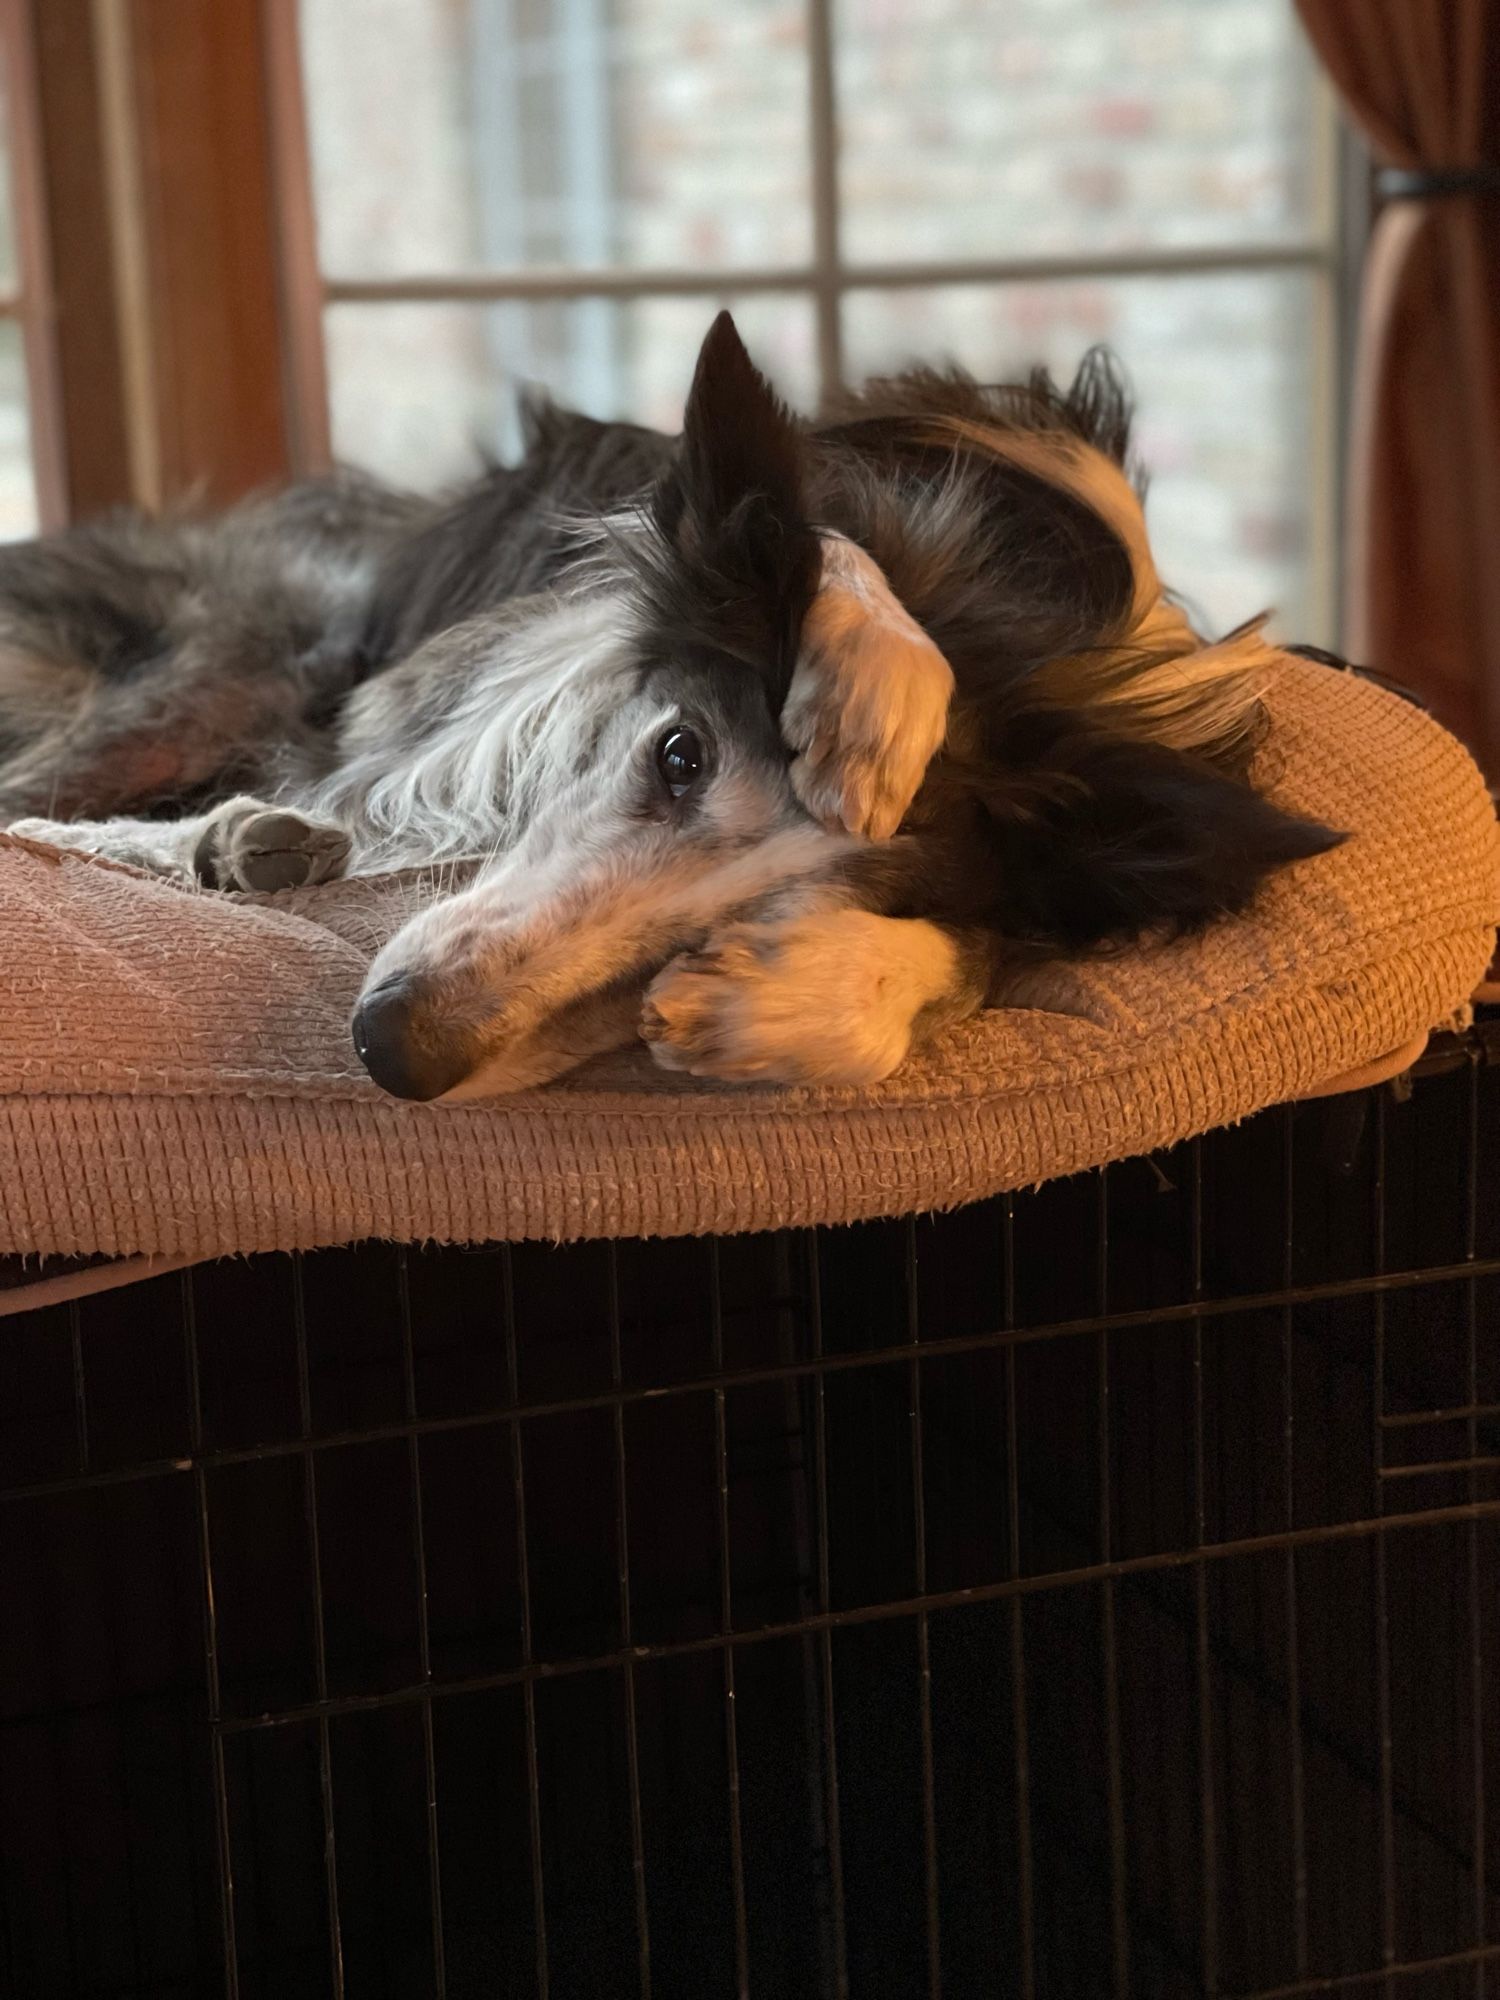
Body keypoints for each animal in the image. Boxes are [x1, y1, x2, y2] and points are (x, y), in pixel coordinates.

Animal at [0, 308, 1336, 1096]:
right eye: (679, 753)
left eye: (797, 909)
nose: (389, 1049)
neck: (1026, 619)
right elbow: (816, 541)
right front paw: (878, 682)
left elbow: (985, 942)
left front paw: (798, 995)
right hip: (233, 657)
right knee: (39, 801)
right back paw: (236, 836)